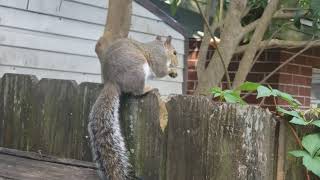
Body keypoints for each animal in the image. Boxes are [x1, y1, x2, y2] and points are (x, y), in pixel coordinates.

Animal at [87, 35, 178, 179]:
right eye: (174, 52)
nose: (178, 64)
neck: (160, 47)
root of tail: (112, 81)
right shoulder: (159, 58)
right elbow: (161, 71)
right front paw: (171, 70)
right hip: (138, 70)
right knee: (137, 91)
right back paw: (149, 88)